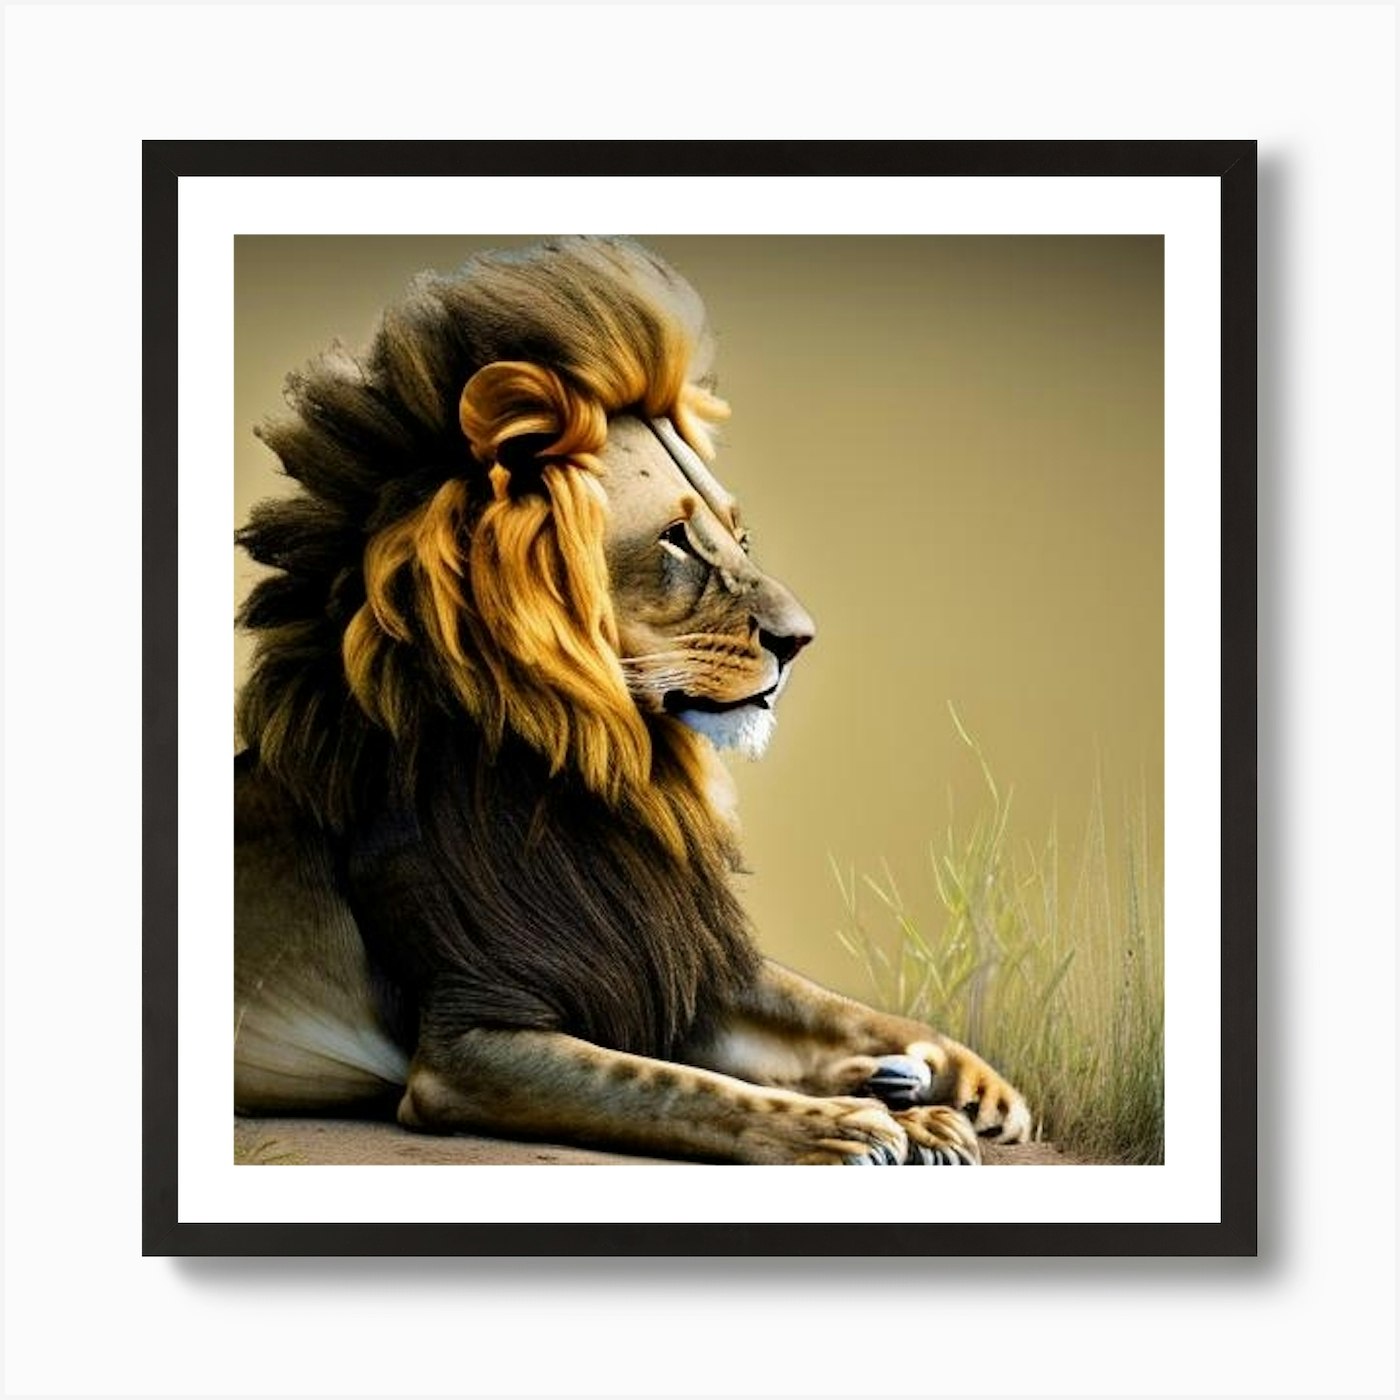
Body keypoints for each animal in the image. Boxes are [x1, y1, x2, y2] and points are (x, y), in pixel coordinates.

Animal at [234, 236, 1032, 1165]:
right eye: (677, 539)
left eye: (739, 534)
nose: (802, 640)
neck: (607, 773)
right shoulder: (469, 1043)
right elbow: (675, 1085)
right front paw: (846, 1125)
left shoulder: (663, 956)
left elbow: (819, 1003)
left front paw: (967, 1089)